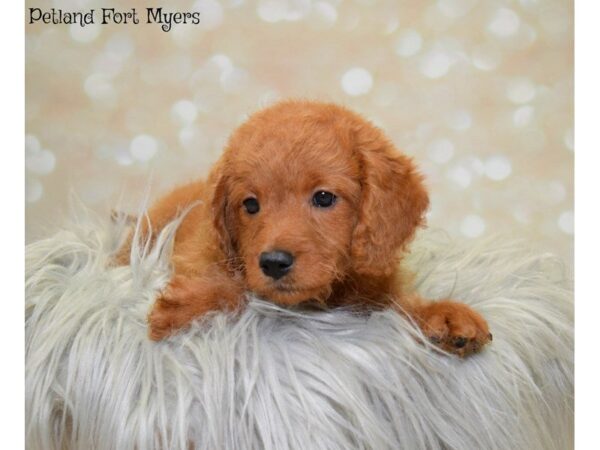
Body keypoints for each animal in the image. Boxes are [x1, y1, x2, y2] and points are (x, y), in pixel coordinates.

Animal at [118, 100, 492, 356]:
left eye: (324, 197)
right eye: (250, 205)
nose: (273, 263)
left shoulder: (374, 294)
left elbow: (398, 305)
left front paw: (443, 314)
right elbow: (237, 289)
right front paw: (191, 306)